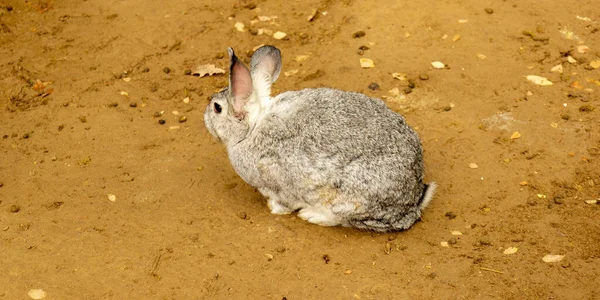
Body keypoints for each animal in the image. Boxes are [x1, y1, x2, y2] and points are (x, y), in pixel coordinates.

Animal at [203, 45, 436, 232]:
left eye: (217, 108)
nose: (204, 119)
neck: (251, 129)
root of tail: (413, 199)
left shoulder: (277, 182)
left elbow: (284, 202)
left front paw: (275, 209)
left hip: (348, 198)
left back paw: (311, 215)